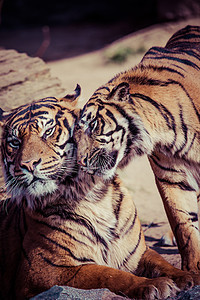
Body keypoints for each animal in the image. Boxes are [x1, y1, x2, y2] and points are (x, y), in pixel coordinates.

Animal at [0, 85, 198, 298]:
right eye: (14, 142)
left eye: (49, 131)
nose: (28, 164)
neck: (92, 197)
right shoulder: (41, 272)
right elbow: (108, 274)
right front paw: (154, 285)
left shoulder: (138, 253)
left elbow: (162, 263)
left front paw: (188, 277)